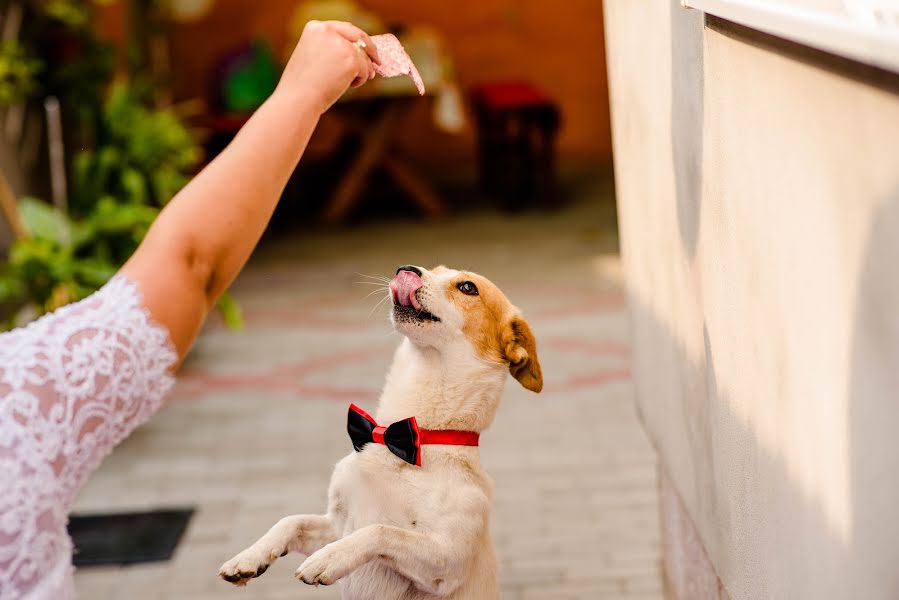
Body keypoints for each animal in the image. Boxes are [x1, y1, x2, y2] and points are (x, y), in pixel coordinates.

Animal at [220, 266, 540, 600]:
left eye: (467, 287)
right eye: (434, 270)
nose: (407, 270)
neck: (409, 435)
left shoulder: (446, 559)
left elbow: (380, 531)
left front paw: (329, 558)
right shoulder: (337, 524)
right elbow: (291, 521)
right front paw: (248, 558)